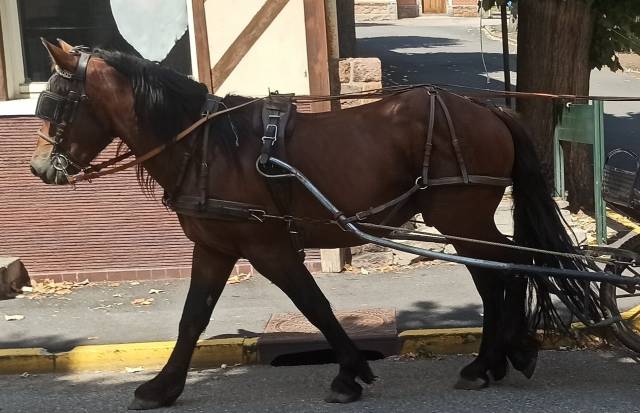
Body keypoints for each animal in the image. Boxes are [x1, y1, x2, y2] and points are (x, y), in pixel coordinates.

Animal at [27, 39, 596, 408]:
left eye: (58, 103)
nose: (37, 168)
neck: (207, 147)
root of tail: (487, 109)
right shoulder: (214, 248)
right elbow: (192, 318)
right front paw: (163, 387)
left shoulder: (268, 246)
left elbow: (314, 305)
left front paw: (350, 372)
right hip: (463, 219)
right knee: (502, 271)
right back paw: (503, 357)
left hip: (460, 215)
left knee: (502, 272)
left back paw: (491, 361)